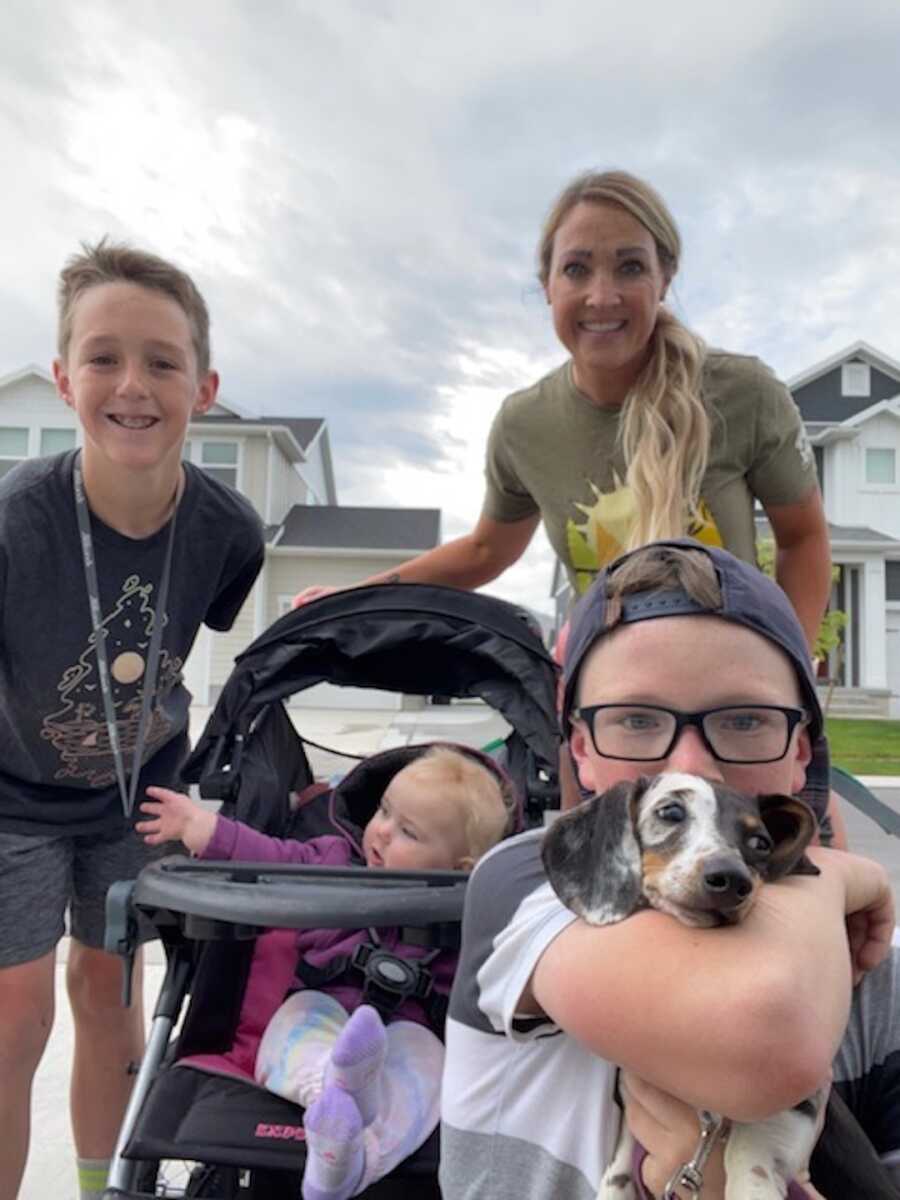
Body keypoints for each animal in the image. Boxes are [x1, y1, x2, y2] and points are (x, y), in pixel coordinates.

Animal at [542, 772, 897, 1195]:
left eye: (760, 843)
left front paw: (753, 1187)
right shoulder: (629, 1092)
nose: (732, 880)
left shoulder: (798, 1094)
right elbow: (619, 1165)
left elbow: (750, 1144)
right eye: (671, 811)